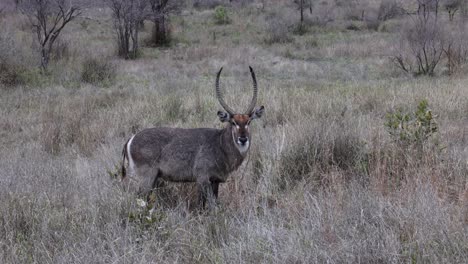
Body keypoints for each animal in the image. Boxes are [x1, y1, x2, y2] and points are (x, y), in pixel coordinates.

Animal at [120, 67, 266, 208]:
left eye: (248, 122)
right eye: (233, 122)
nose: (243, 139)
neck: (220, 144)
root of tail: (130, 139)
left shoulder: (216, 180)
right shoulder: (202, 178)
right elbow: (204, 205)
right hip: (146, 177)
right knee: (139, 198)